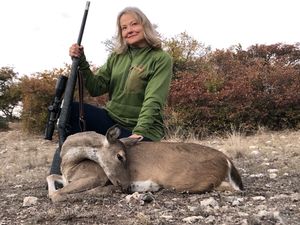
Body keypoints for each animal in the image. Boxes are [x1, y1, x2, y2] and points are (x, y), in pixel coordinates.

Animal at [47, 126, 244, 202]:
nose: (126, 185)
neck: (70, 165)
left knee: (231, 188)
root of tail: (226, 159)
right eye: (120, 156)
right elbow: (50, 177)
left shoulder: (96, 175)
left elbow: (56, 195)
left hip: (186, 181)